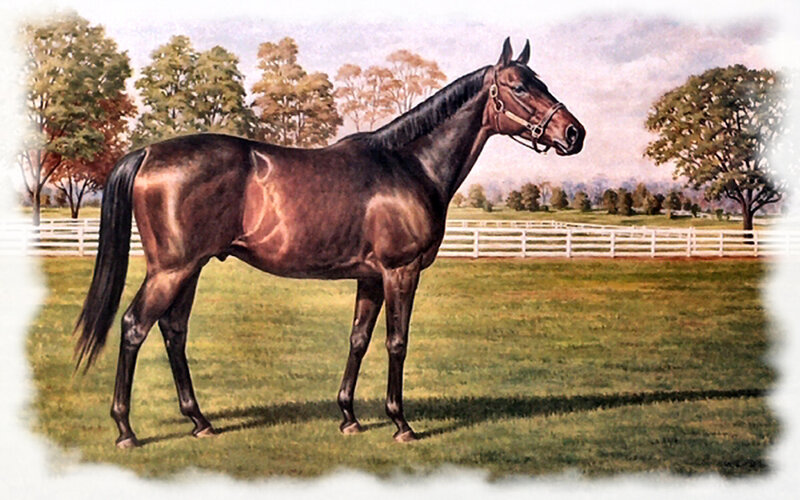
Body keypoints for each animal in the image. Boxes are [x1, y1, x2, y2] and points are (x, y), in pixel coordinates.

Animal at [75, 38, 585, 448]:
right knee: (134, 327)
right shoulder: (400, 272)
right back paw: (125, 430)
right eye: (519, 87)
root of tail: (148, 153)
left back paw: (199, 421)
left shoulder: (372, 278)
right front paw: (401, 424)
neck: (409, 164)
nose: (573, 133)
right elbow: (396, 342)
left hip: (191, 269)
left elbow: (358, 339)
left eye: (540, 81)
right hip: (172, 269)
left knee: (173, 331)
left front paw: (349, 417)